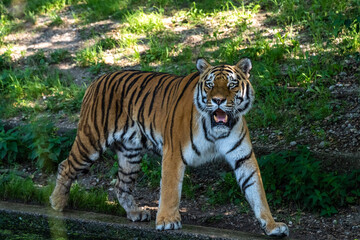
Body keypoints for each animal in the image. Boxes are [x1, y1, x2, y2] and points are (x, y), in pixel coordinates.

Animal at [48, 57, 290, 236]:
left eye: (232, 84)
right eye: (210, 85)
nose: (219, 100)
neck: (216, 129)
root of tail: (98, 79)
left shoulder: (244, 157)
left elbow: (257, 191)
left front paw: (272, 225)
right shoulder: (174, 153)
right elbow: (171, 190)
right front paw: (167, 221)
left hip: (130, 154)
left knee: (121, 185)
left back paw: (135, 213)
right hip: (91, 141)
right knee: (65, 166)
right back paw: (57, 204)